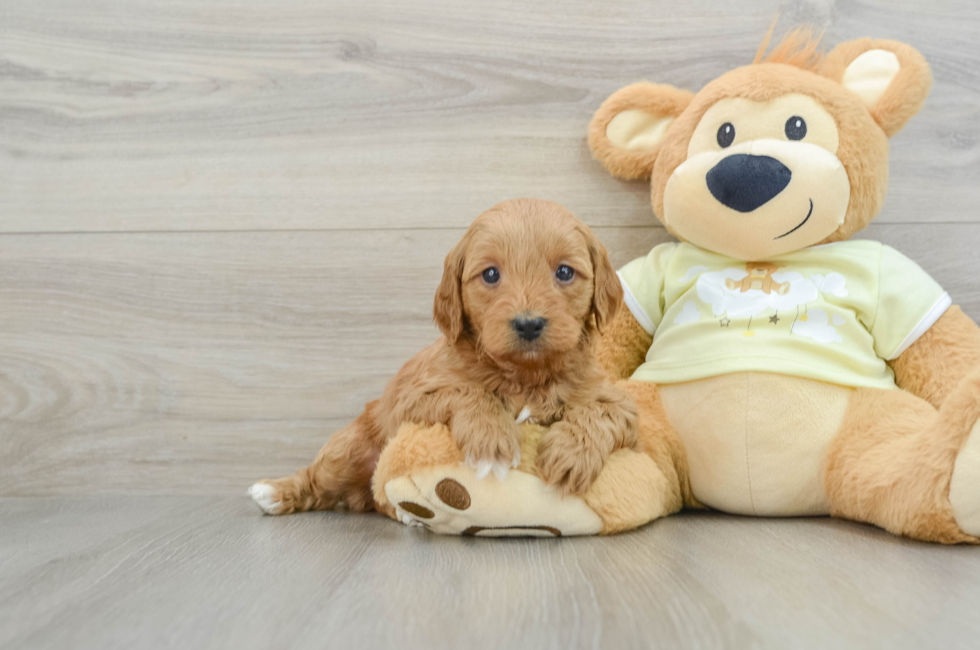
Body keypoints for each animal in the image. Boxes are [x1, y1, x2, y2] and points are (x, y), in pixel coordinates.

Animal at [249, 195, 640, 512]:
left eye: (564, 271)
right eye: (491, 274)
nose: (528, 325)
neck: (525, 375)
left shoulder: (619, 403)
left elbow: (600, 411)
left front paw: (572, 456)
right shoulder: (412, 398)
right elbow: (470, 391)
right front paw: (491, 442)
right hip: (347, 448)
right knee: (318, 479)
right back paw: (274, 492)